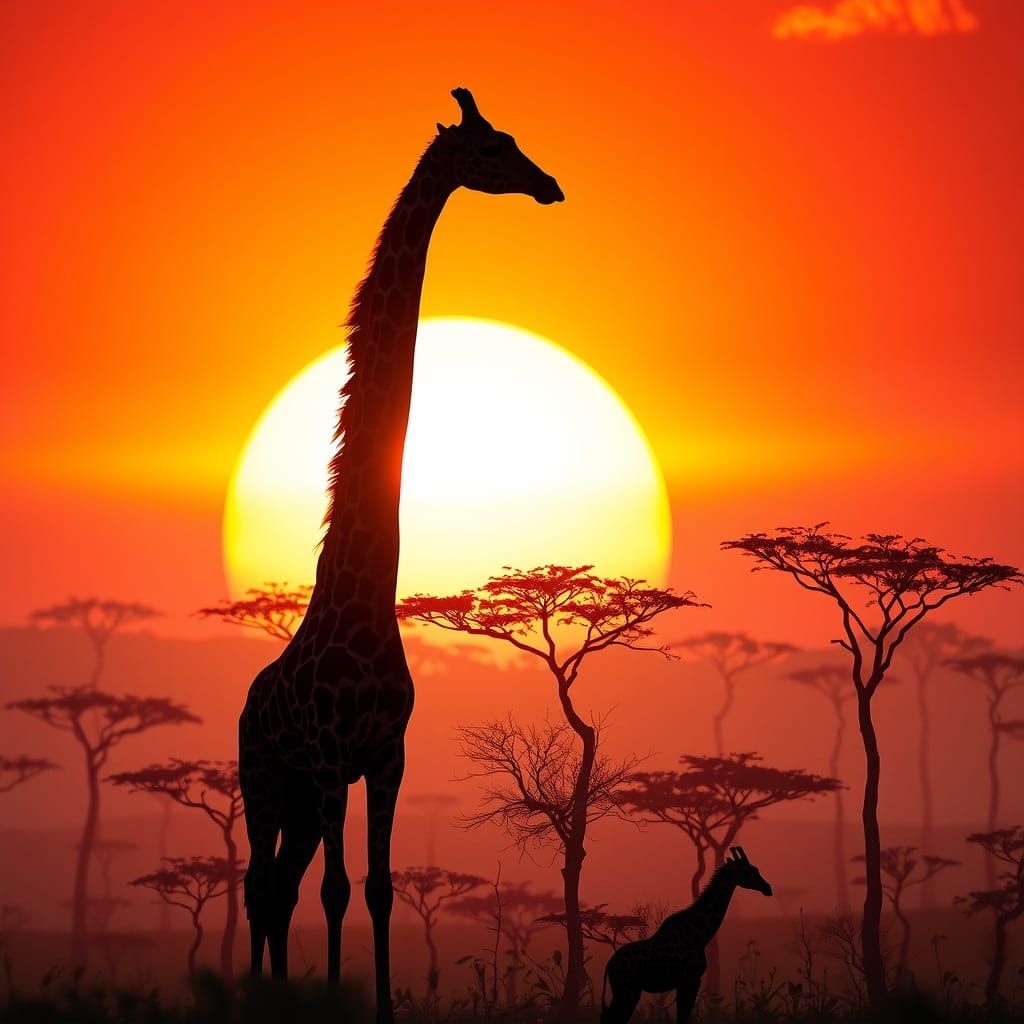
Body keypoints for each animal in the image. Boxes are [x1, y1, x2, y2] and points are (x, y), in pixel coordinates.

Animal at [237, 88, 562, 1022]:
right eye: (494, 146)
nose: (551, 184)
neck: (363, 604)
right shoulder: (327, 760)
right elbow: (339, 893)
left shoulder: (384, 760)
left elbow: (377, 891)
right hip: (262, 783)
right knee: (259, 885)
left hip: (296, 799)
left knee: (277, 888)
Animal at [601, 848, 772, 1024]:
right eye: (748, 871)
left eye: (756, 869)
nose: (768, 888)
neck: (699, 935)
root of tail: (610, 965)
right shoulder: (690, 979)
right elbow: (683, 1017)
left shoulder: (686, 982)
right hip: (627, 991)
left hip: (627, 991)